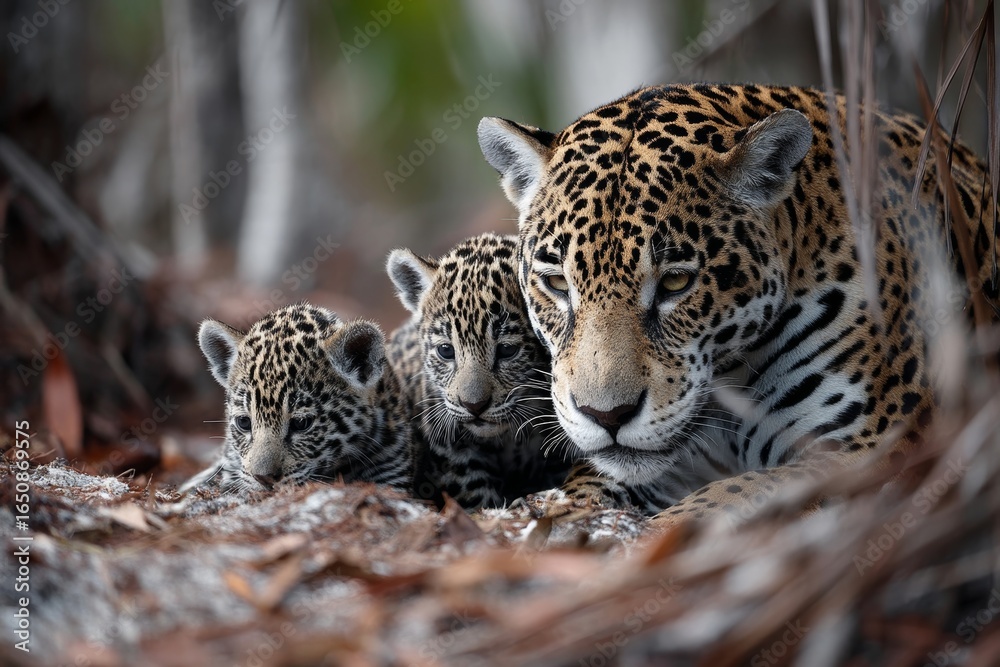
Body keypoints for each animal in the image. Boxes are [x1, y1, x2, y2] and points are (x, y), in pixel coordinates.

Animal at [477, 83, 997, 525]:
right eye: (557, 284)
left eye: (675, 283)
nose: (606, 417)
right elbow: (591, 484)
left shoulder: (874, 447)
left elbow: (730, 495)